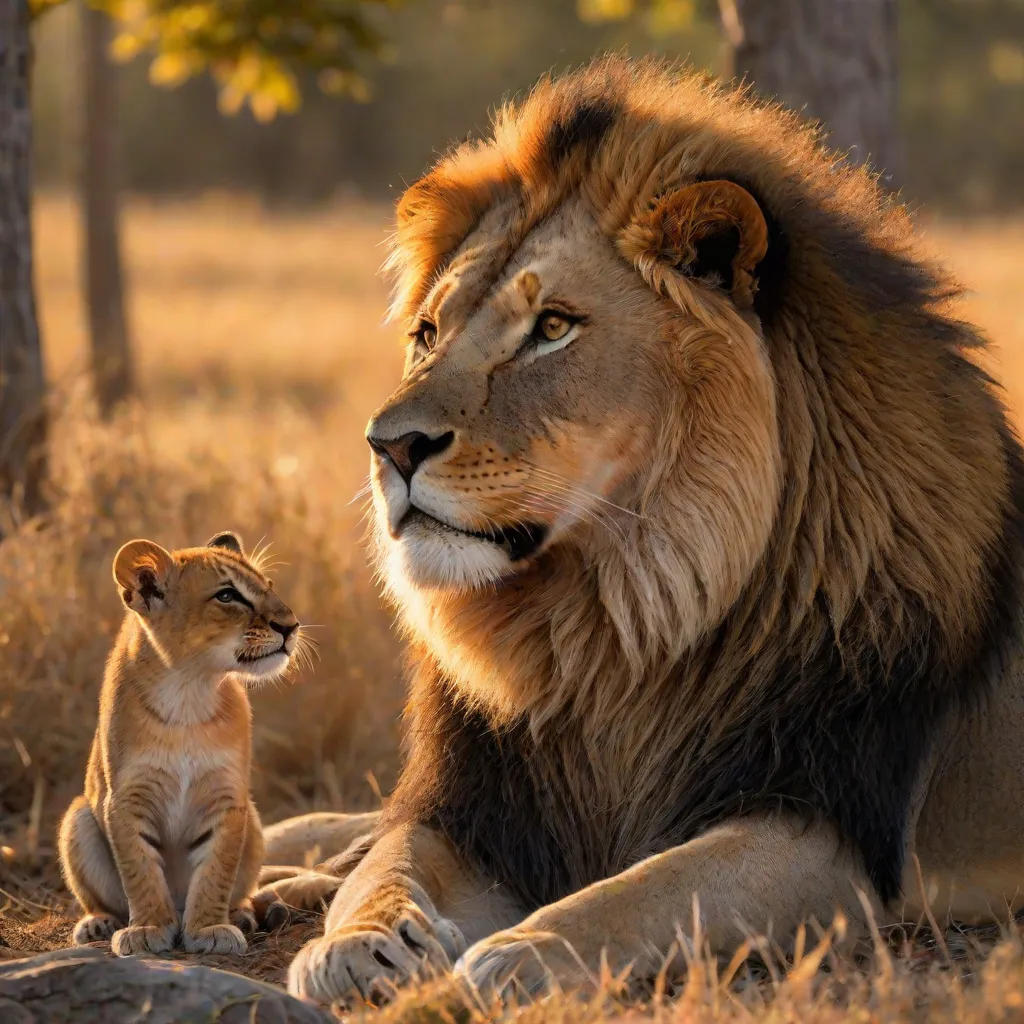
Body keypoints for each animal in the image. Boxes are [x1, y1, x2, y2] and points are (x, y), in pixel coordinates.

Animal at [259, 57, 1024, 1004]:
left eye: (553, 327)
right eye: (427, 333)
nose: (388, 446)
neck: (615, 618)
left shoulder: (829, 833)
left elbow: (646, 892)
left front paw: (523, 954)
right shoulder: (474, 807)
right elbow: (388, 862)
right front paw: (354, 944)